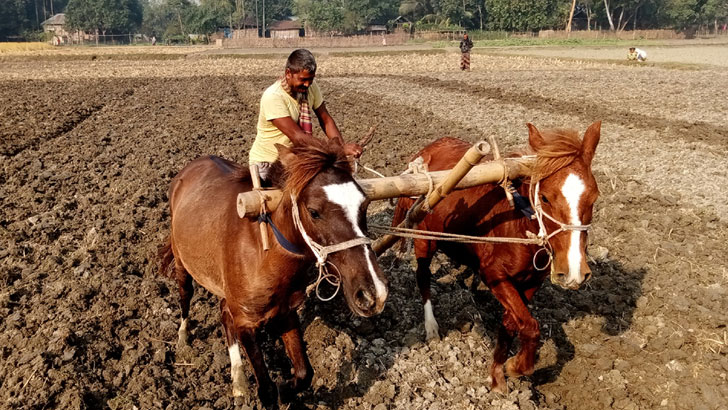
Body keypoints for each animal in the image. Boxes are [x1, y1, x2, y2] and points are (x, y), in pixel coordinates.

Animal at [157, 139, 390, 408]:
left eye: (364, 205)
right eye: (314, 211)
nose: (373, 294)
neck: (265, 251)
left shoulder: (285, 311)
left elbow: (304, 373)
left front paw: (286, 391)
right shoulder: (246, 322)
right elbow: (266, 389)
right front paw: (276, 391)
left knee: (224, 312)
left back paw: (238, 381)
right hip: (182, 262)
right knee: (185, 295)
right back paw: (183, 337)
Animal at [396, 121, 600, 390]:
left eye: (594, 196)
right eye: (545, 197)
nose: (575, 272)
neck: (518, 224)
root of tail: (429, 149)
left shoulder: (531, 283)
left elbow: (512, 326)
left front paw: (498, 375)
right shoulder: (494, 274)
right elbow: (531, 326)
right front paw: (516, 367)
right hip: (424, 237)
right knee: (423, 277)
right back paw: (431, 327)